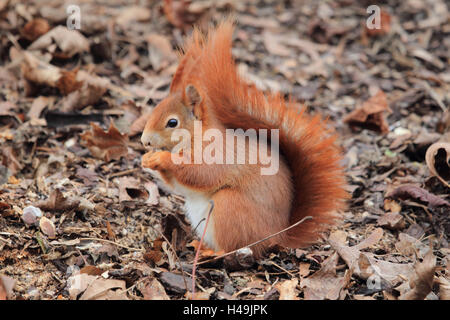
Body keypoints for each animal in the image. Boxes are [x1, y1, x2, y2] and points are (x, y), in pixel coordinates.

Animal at [141, 20, 348, 258]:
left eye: (172, 122)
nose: (144, 141)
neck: (197, 136)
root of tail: (276, 237)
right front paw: (147, 159)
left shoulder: (218, 153)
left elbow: (200, 173)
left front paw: (162, 158)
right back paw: (198, 244)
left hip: (229, 207)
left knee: (231, 247)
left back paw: (211, 253)